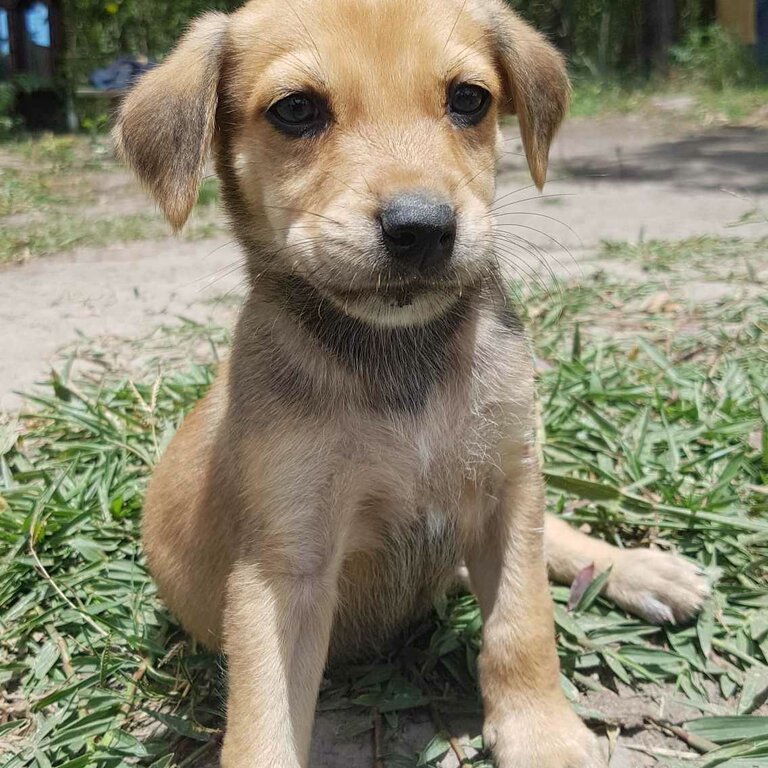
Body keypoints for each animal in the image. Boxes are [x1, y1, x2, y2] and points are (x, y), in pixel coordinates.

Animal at [114, 3, 708, 764]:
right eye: (296, 109)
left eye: (470, 100)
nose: (422, 229)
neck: (401, 360)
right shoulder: (283, 568)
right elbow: (264, 725)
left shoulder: (505, 490)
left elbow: (523, 624)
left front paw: (541, 732)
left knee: (556, 539)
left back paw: (640, 570)